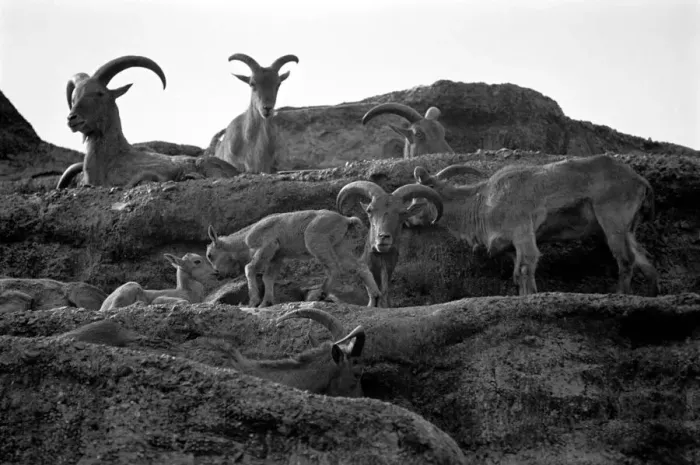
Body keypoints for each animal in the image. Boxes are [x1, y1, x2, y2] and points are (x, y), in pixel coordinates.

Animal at [205, 210, 381, 308]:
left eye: (210, 255)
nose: (217, 274)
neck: (246, 238)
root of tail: (346, 220)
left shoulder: (267, 246)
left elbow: (250, 268)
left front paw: (254, 301)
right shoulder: (277, 256)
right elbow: (268, 278)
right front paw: (266, 302)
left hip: (316, 242)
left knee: (334, 267)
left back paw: (322, 293)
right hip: (340, 247)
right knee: (360, 267)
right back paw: (373, 301)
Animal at [413, 154, 660, 296]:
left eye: (417, 200)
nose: (408, 219)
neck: (483, 202)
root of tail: (640, 181)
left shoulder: (522, 232)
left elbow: (526, 267)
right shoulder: (511, 247)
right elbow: (517, 273)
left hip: (612, 220)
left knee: (625, 258)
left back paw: (622, 295)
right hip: (627, 228)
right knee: (644, 259)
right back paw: (653, 295)